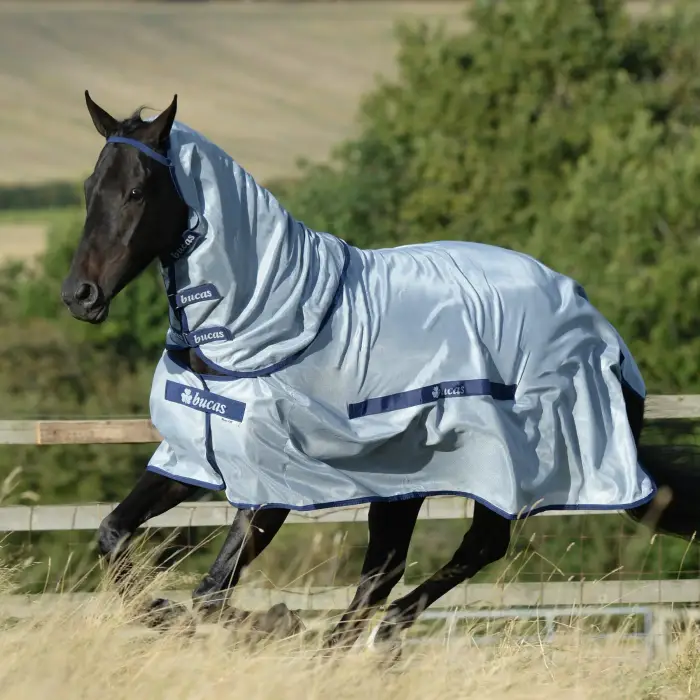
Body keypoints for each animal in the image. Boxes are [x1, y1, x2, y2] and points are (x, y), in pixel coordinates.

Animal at [61, 91, 700, 656]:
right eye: (90, 188)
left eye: (136, 191)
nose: (79, 296)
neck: (257, 325)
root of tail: (605, 335)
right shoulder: (196, 459)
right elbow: (115, 537)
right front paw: (172, 609)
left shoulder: (272, 488)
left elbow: (209, 593)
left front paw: (273, 622)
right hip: (402, 482)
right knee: (388, 568)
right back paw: (350, 642)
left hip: (492, 469)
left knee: (474, 547)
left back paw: (369, 635)